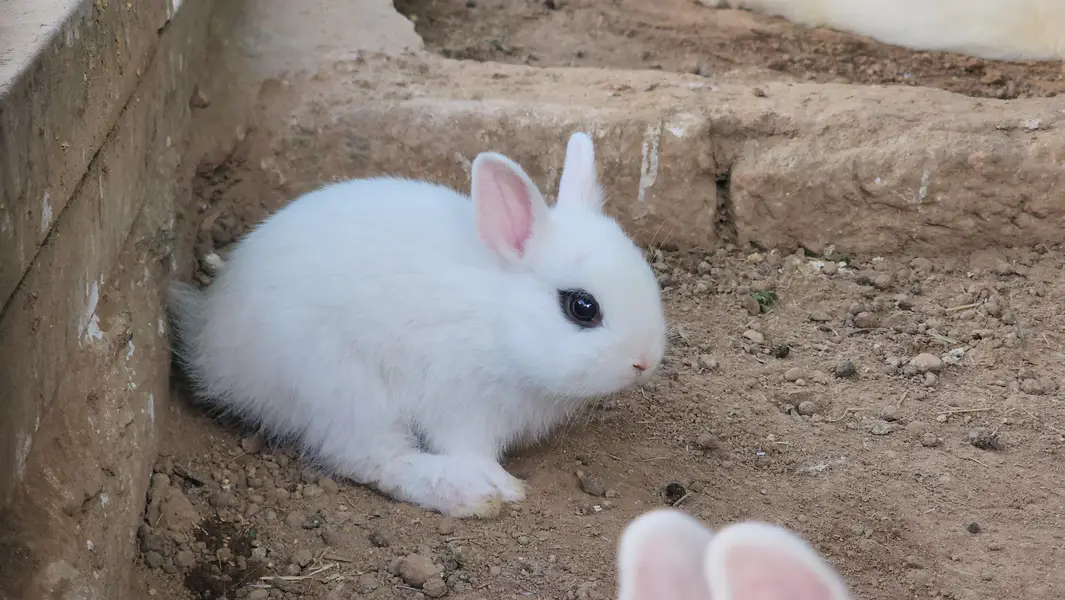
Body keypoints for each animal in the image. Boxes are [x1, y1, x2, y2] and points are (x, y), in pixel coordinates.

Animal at [168, 132, 668, 519]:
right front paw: (504, 486)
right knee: (374, 460)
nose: (645, 363)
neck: (499, 318)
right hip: (343, 389)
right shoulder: (462, 405)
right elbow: (467, 448)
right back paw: (466, 493)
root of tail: (211, 342)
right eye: (582, 307)